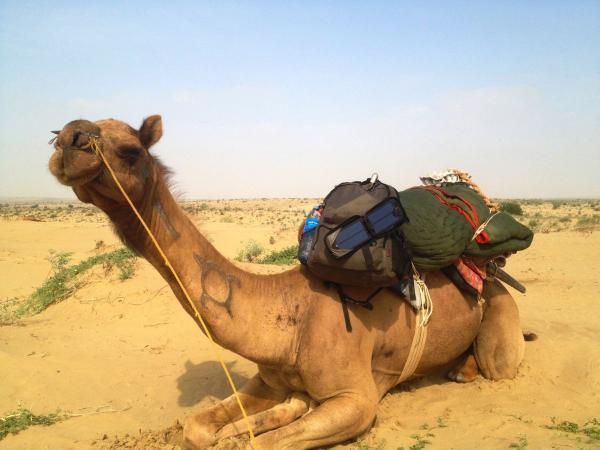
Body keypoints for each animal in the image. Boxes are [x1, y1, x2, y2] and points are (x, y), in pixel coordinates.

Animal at [48, 115, 524, 446]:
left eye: (130, 149)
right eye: (64, 133)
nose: (69, 139)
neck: (288, 315)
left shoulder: (357, 399)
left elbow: (264, 441)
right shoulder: (268, 379)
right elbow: (198, 426)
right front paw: (274, 412)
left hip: (500, 315)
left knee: (499, 364)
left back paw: (463, 370)